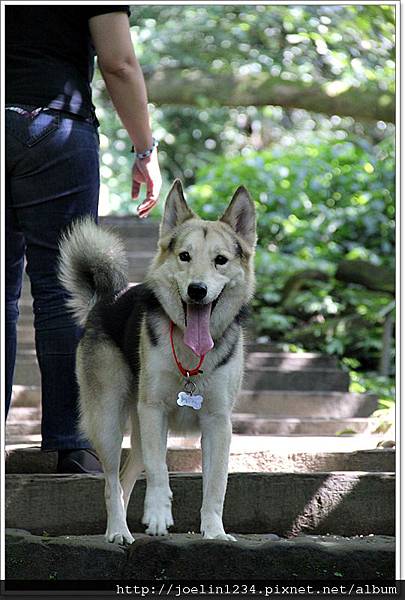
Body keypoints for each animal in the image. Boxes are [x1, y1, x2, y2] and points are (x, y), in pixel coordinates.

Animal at [57, 178, 256, 544]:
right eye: (184, 256)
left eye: (220, 260)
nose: (197, 290)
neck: (191, 356)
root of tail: (105, 301)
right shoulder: (154, 413)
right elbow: (160, 469)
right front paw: (159, 514)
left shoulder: (219, 423)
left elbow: (216, 485)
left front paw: (214, 531)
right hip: (109, 422)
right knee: (112, 483)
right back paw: (118, 531)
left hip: (136, 435)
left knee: (125, 480)